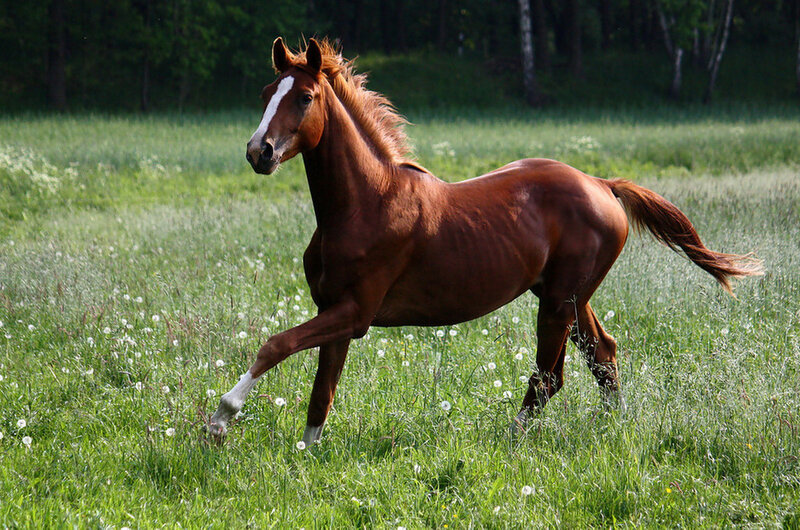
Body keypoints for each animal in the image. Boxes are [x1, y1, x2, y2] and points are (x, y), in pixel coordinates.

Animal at [208, 38, 763, 444]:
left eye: (304, 97)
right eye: (266, 93)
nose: (259, 152)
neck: (365, 203)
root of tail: (603, 185)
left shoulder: (356, 312)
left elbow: (275, 345)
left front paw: (221, 417)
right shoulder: (335, 312)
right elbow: (321, 394)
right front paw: (306, 456)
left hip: (559, 300)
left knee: (550, 376)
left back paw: (514, 438)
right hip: (567, 295)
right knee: (601, 355)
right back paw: (611, 429)